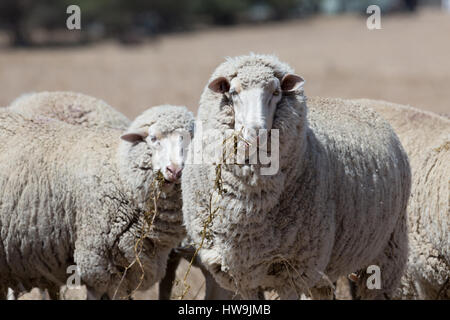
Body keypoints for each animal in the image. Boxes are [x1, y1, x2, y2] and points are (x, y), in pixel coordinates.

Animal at [182, 53, 412, 298]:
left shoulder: (292, 271)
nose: (256, 133)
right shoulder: (240, 275)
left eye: (276, 92)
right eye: (233, 92)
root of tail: (359, 105)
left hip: (387, 254)